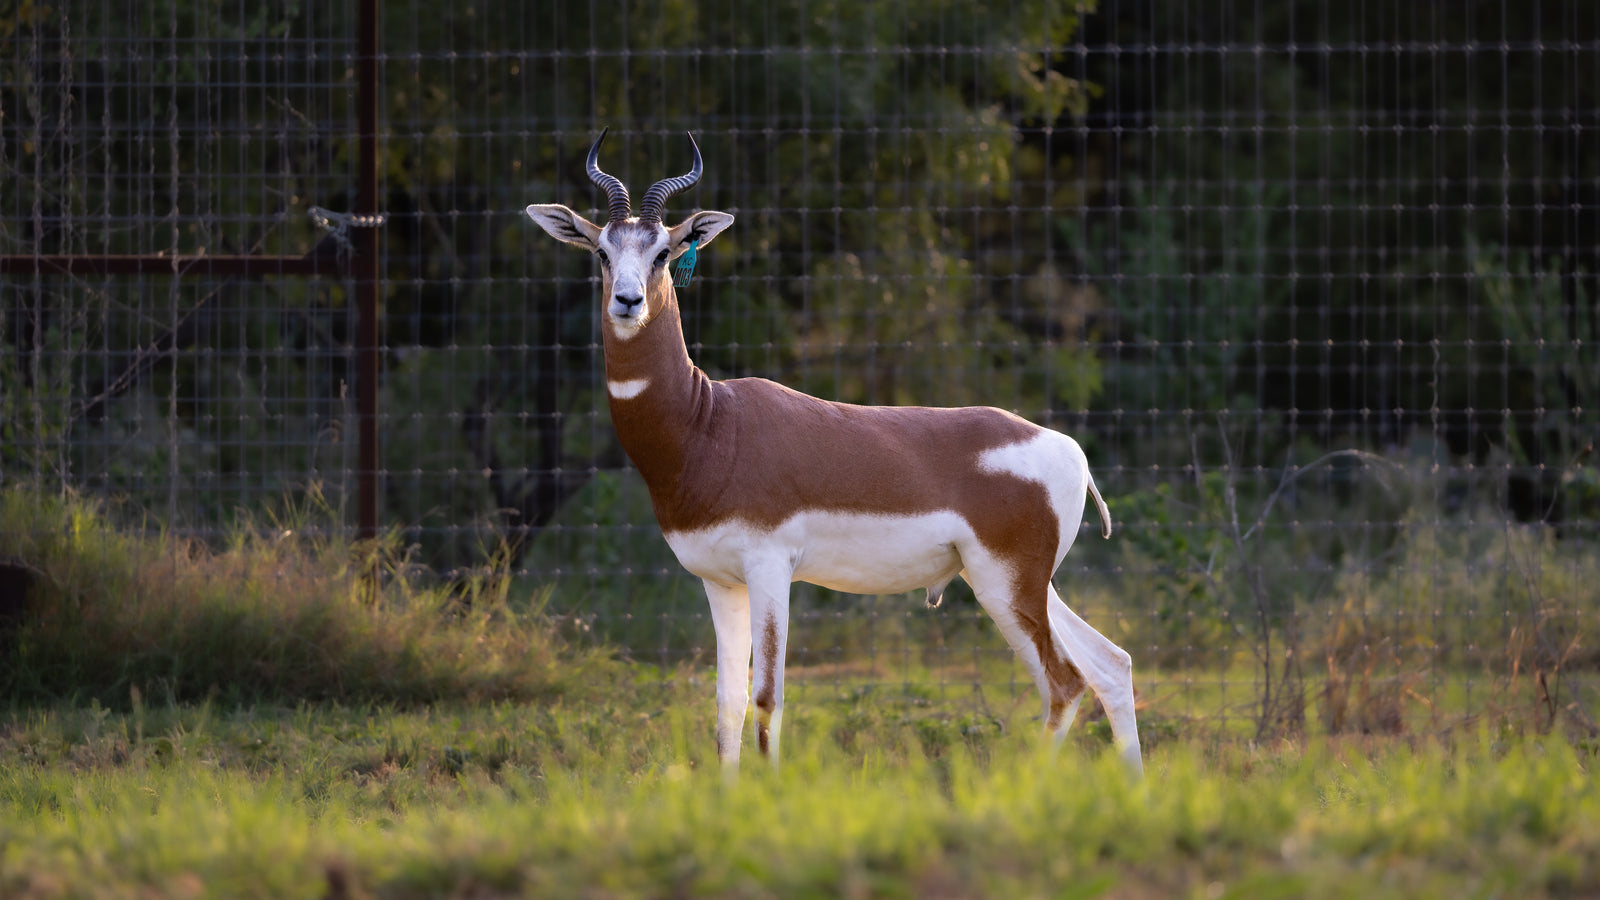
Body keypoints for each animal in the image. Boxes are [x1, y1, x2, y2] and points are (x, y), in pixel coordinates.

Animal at [526, 130, 1143, 777]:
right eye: (601, 252)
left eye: (664, 253)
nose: (627, 301)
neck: (709, 423)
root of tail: (1069, 451)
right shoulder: (720, 582)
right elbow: (727, 706)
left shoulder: (771, 568)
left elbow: (767, 698)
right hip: (1027, 584)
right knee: (1111, 664)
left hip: (1005, 583)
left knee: (1065, 682)